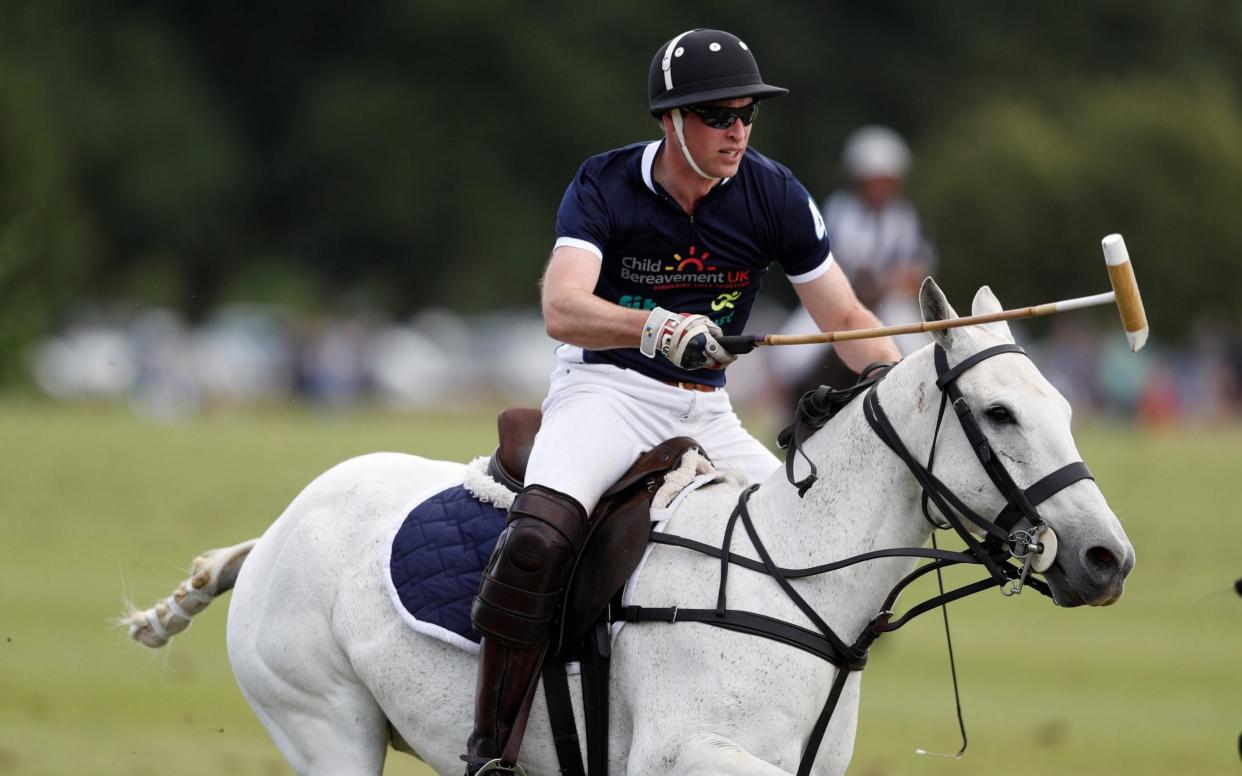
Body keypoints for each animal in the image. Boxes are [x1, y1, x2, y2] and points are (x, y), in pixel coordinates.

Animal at [126, 281, 1137, 774]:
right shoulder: (679, 756)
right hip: (325, 726)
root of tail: (275, 532)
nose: (1107, 558)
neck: (800, 590)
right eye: (1000, 413)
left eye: (1066, 406)